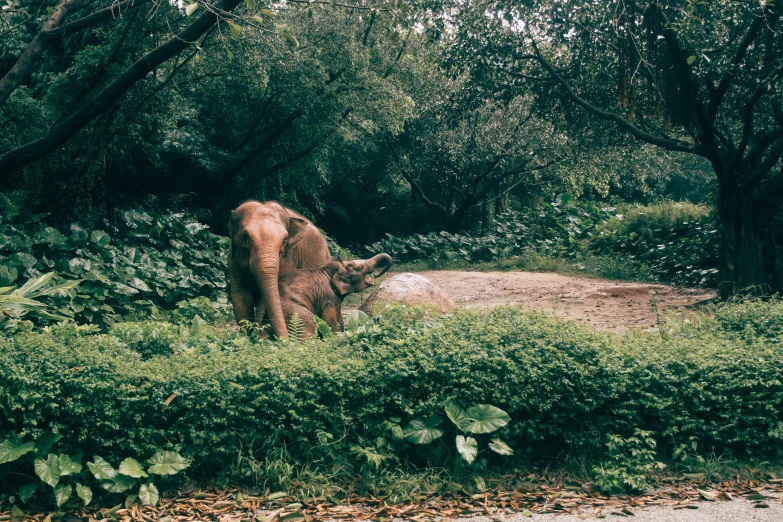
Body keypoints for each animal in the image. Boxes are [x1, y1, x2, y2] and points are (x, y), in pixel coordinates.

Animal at [227, 199, 330, 338]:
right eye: (244, 239)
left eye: (284, 241)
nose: (284, 340)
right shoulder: (232, 260)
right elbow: (241, 298)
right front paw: (245, 338)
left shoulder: (290, 258)